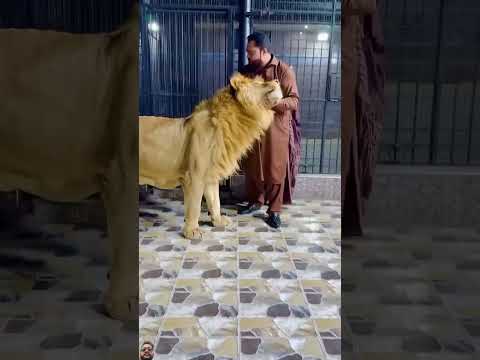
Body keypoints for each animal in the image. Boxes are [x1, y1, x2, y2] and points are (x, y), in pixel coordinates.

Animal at [139, 73, 284, 239]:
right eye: (259, 83)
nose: (277, 80)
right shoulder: (194, 177)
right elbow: (194, 206)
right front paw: (192, 231)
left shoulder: (211, 175)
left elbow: (215, 202)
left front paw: (218, 221)